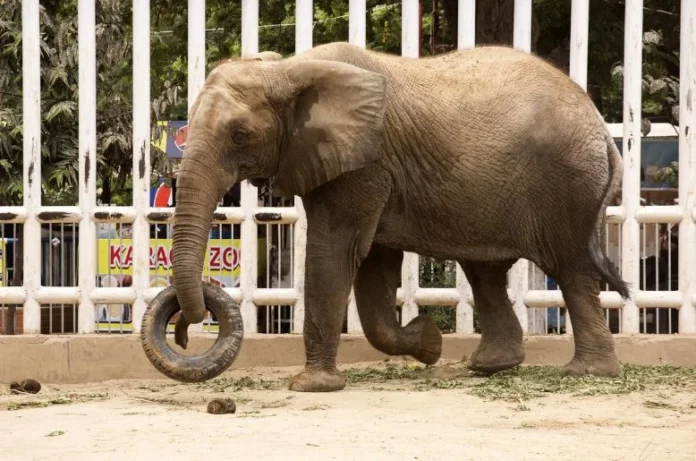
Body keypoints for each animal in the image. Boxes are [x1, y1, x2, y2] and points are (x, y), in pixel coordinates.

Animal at [146, 42, 630, 392]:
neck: (289, 68)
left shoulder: (364, 164)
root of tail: (603, 131)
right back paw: (489, 367)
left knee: (571, 270)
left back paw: (586, 374)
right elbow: (373, 270)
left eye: (240, 134)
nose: (184, 330)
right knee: (487, 273)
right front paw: (429, 343)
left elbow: (333, 252)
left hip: (568, 185)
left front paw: (310, 386)